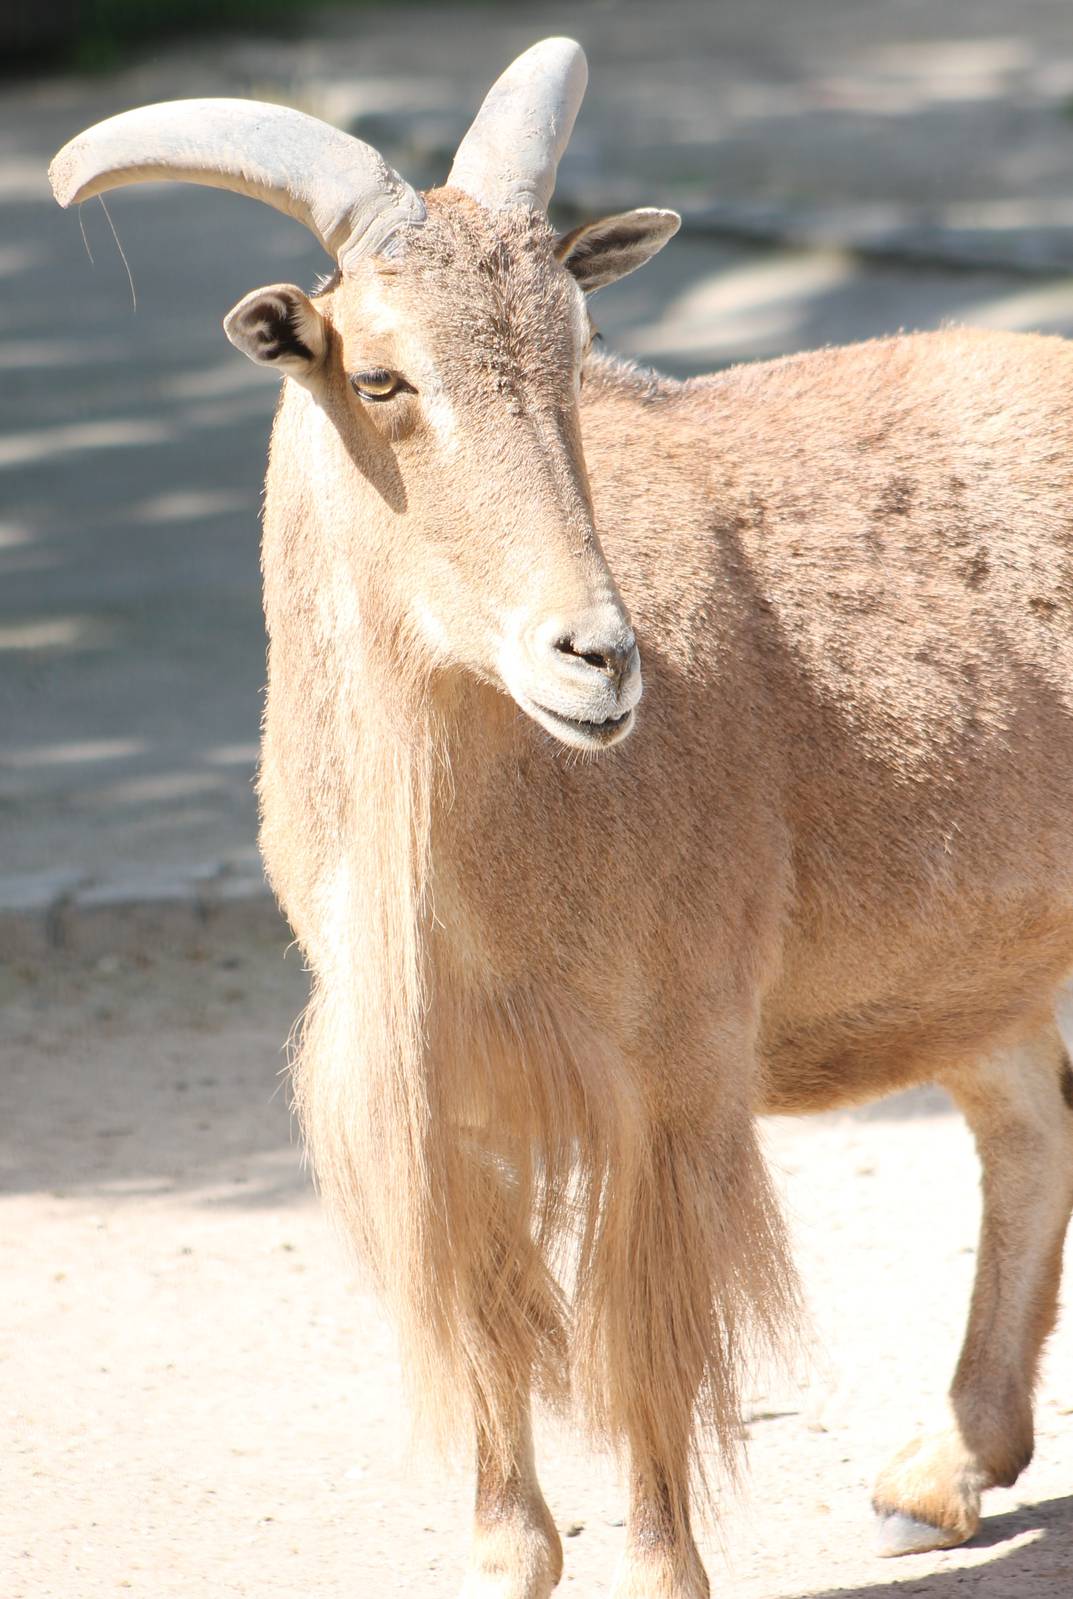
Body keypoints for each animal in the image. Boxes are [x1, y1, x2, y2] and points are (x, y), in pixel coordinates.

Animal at [51, 37, 1073, 1599]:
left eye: (571, 350)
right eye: (380, 373)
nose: (596, 657)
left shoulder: (667, 1070)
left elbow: (640, 1362)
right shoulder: (437, 1091)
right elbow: (491, 1366)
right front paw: (507, 1549)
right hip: (973, 960)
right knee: (1028, 1120)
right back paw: (938, 1474)